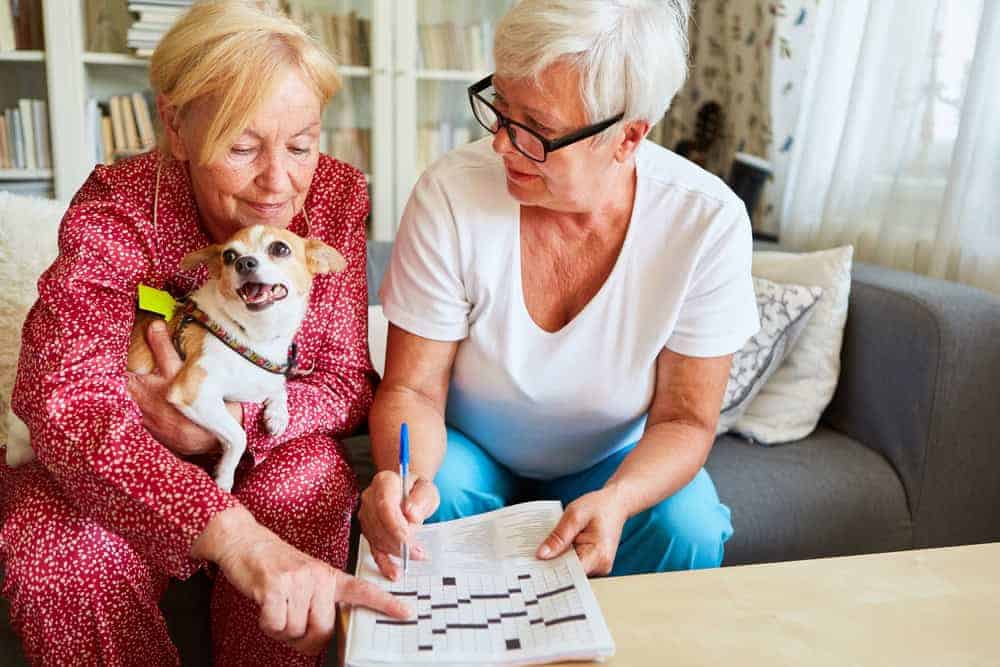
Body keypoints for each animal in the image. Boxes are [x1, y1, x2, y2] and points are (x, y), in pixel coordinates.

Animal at [6, 224, 348, 490]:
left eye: (280, 248)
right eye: (229, 256)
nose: (245, 263)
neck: (252, 336)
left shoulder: (262, 376)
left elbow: (278, 387)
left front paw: (277, 414)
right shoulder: (194, 393)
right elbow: (238, 436)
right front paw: (224, 477)